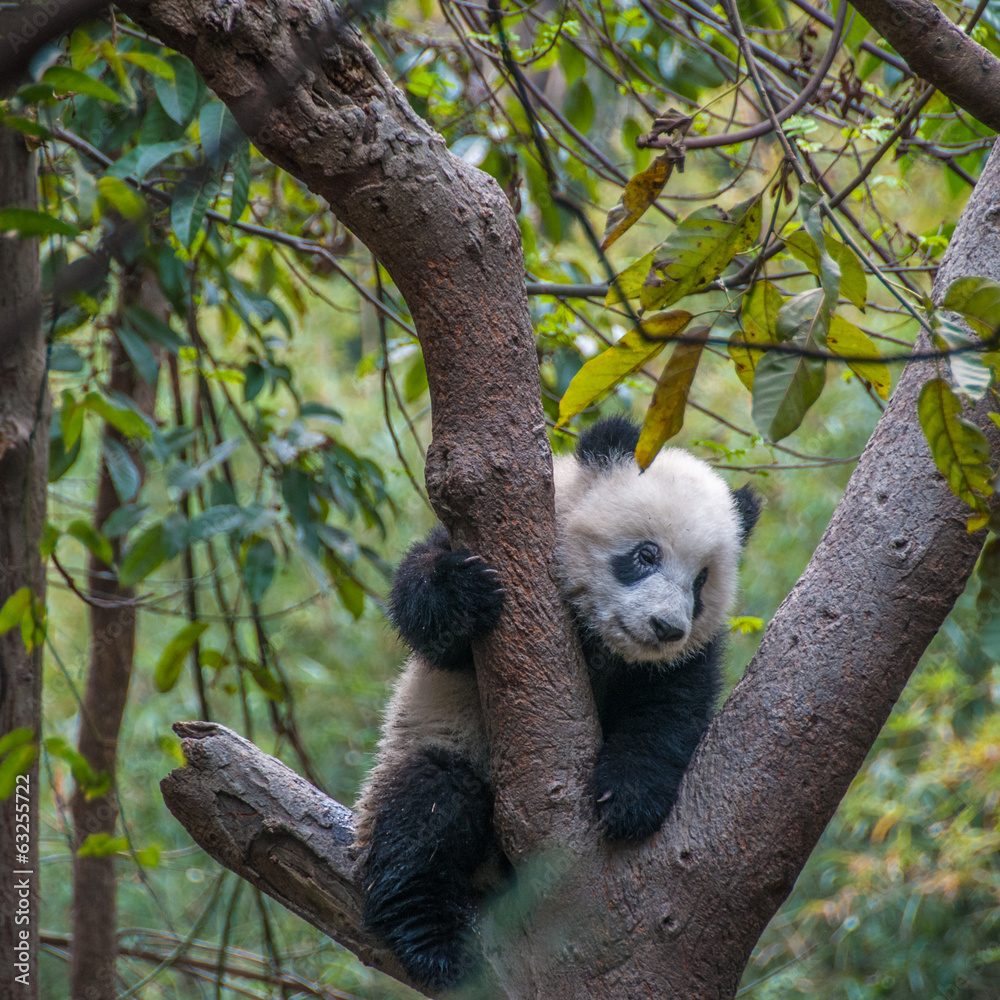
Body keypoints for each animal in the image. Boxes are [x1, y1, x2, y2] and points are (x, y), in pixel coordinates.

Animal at [354, 416, 760, 990]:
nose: (666, 628)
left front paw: (628, 800)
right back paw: (428, 939)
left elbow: (666, 712)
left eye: (701, 581)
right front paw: (462, 591)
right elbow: (426, 609)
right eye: (645, 554)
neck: (603, 642)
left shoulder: (683, 660)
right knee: (427, 808)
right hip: (432, 749)